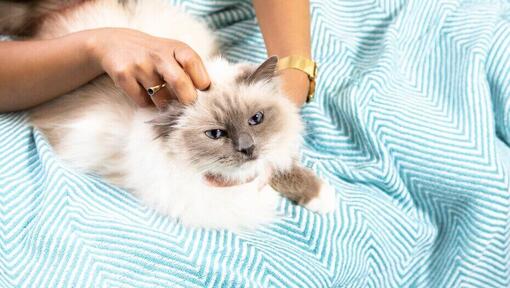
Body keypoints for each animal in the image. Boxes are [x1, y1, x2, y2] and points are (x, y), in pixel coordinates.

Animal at [4, 0, 338, 230]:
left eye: (256, 119)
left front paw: (322, 197)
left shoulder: (270, 157)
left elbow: (281, 166)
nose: (247, 148)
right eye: (216, 134)